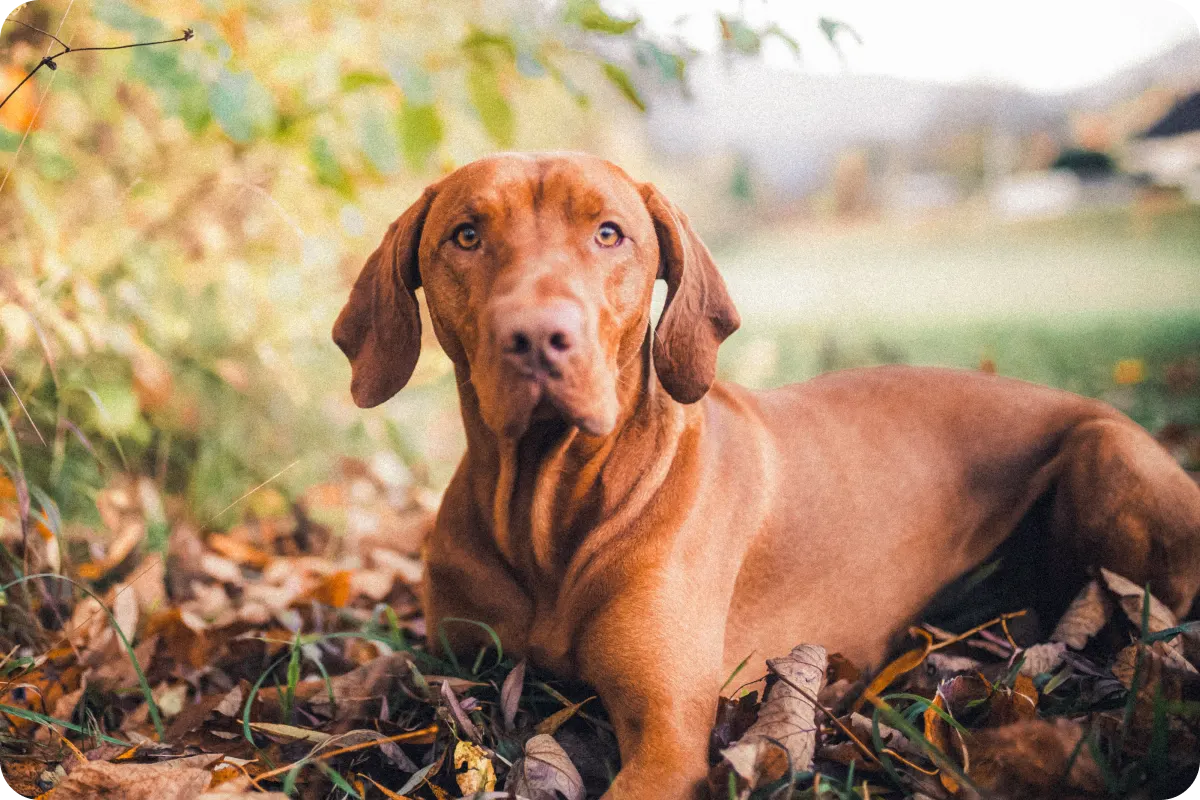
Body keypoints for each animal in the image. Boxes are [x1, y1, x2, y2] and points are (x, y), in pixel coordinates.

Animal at [333, 151, 1200, 800]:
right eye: (466, 235)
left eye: (610, 234)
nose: (539, 336)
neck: (549, 506)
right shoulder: (453, 662)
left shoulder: (669, 735)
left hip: (1106, 453)